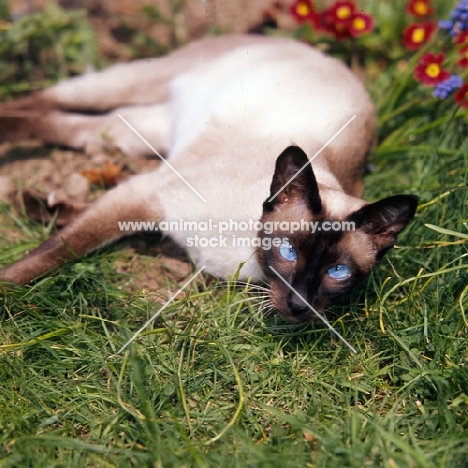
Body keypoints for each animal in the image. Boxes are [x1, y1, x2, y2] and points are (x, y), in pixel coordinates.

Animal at [0, 34, 416, 322]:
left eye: (338, 272)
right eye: (288, 251)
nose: (298, 306)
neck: (248, 256)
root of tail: (322, 54)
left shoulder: (138, 199)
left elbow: (79, 234)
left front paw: (47, 207)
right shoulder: (144, 196)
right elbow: (55, 252)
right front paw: (7, 289)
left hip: (137, 131)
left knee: (70, 128)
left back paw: (36, 202)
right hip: (128, 86)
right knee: (39, 103)